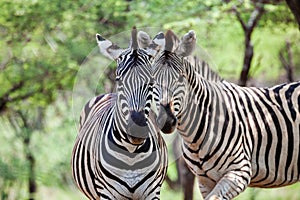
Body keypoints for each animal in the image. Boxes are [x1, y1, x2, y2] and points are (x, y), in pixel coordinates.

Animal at [71, 28, 168, 200]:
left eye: (151, 82)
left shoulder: (152, 192)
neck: (131, 153)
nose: (137, 131)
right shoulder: (107, 193)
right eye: (119, 80)